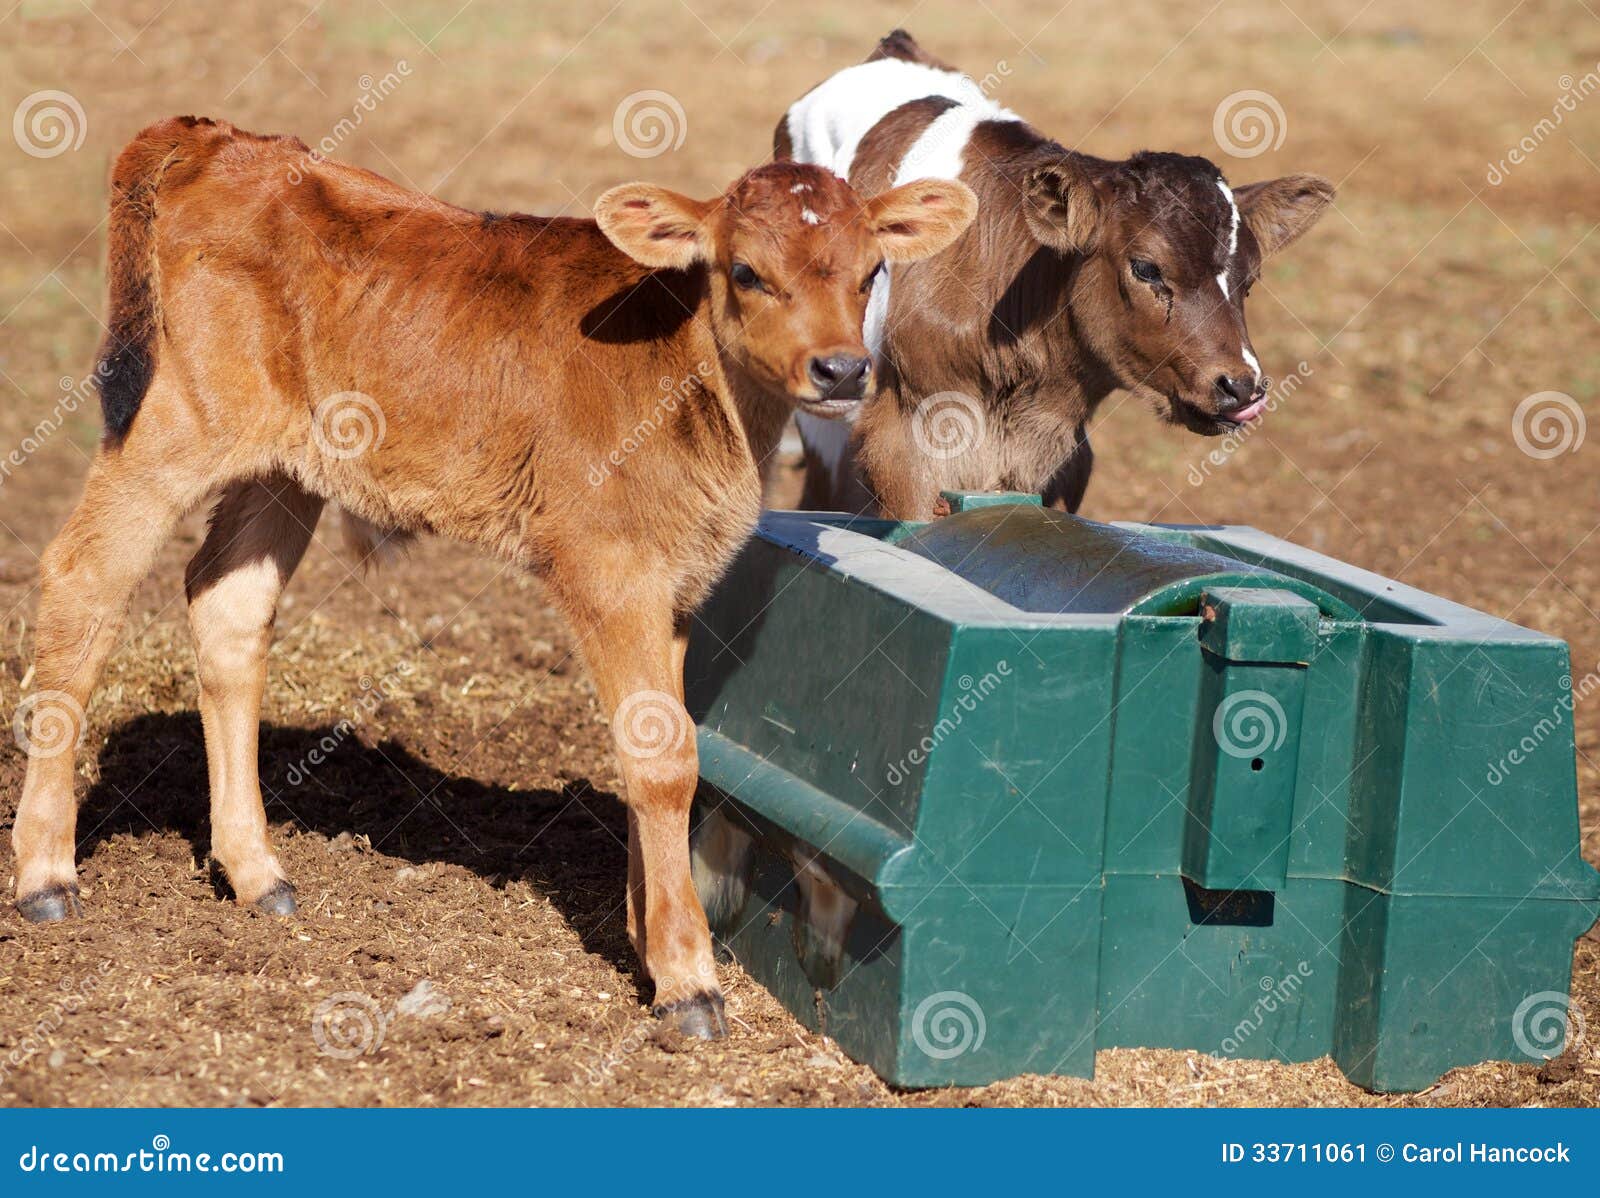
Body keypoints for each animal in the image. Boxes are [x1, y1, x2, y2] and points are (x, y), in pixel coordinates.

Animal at [9, 115, 976, 1039]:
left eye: (872, 272)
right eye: (745, 270)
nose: (842, 368)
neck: (695, 383)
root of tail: (219, 137)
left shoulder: (670, 589)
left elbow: (663, 741)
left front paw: (645, 936)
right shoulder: (607, 566)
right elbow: (664, 760)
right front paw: (687, 979)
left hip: (284, 468)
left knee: (229, 608)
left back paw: (257, 872)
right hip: (172, 425)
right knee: (81, 578)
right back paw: (45, 876)